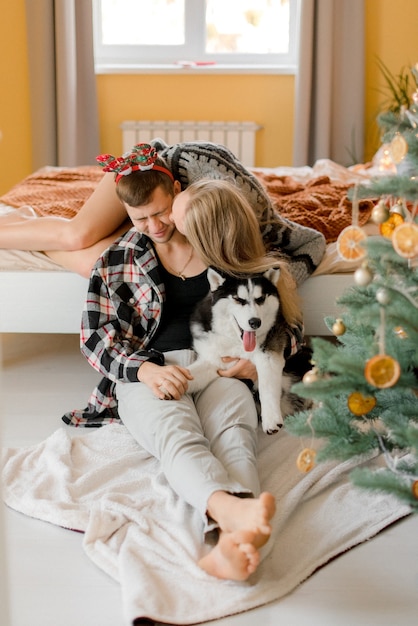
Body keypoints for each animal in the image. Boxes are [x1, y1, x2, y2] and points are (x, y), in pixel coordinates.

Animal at [186, 266, 310, 432]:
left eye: (261, 299)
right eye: (238, 299)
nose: (255, 322)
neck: (237, 343)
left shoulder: (269, 354)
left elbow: (266, 386)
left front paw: (271, 419)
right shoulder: (214, 360)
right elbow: (189, 374)